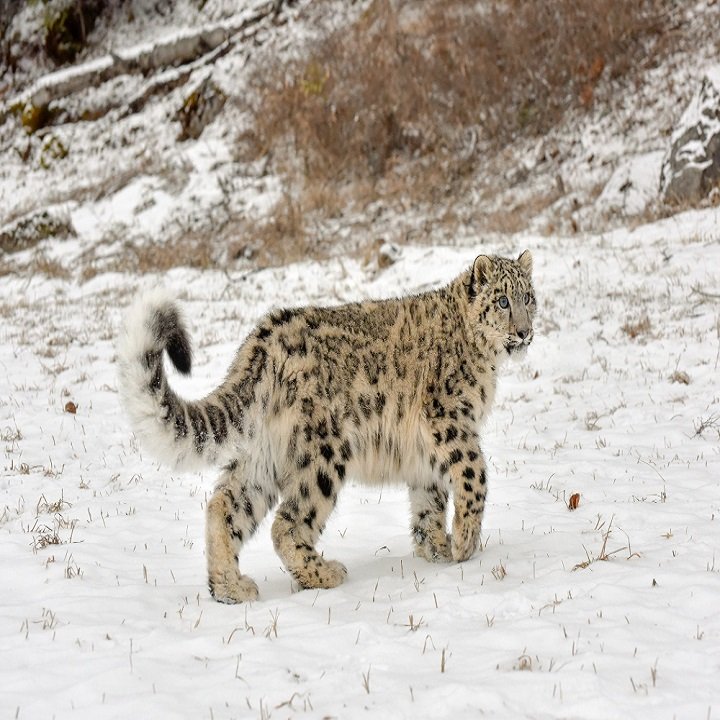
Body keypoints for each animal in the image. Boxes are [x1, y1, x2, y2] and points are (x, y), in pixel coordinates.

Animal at [117, 250, 536, 603]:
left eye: (529, 298)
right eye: (503, 301)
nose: (524, 331)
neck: (486, 359)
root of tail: (263, 340)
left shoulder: (424, 450)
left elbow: (428, 502)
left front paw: (437, 550)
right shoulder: (450, 419)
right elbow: (474, 476)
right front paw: (465, 544)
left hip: (262, 455)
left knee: (225, 506)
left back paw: (231, 588)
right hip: (322, 452)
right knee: (286, 523)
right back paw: (324, 573)